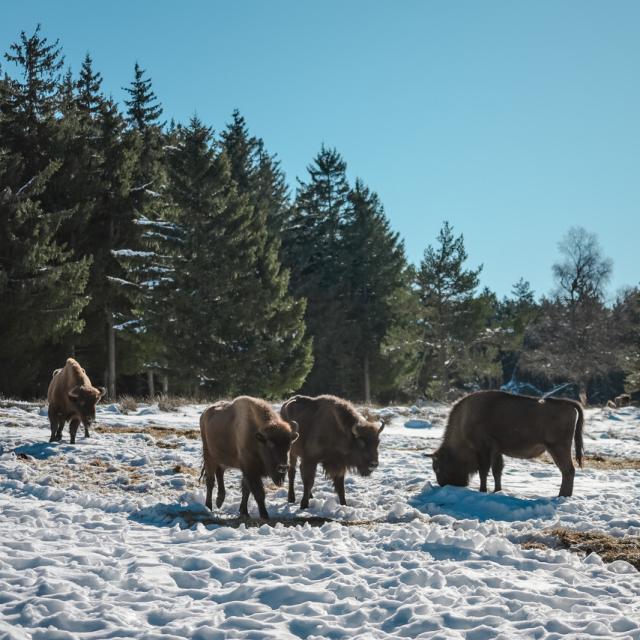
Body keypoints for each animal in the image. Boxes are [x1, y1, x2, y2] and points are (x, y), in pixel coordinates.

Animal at [424, 390, 584, 500]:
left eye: (437, 467)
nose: (444, 484)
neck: (464, 421)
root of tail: (567, 403)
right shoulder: (496, 451)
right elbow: (497, 471)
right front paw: (497, 491)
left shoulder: (483, 449)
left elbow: (484, 471)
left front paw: (483, 490)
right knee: (568, 471)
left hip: (558, 448)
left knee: (568, 471)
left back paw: (562, 496)